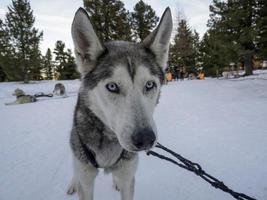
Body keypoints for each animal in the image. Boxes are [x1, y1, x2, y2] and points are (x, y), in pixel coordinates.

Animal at [67, 7, 174, 199]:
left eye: (149, 85)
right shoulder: (86, 181)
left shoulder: (128, 178)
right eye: (112, 86)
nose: (145, 139)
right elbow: (82, 180)